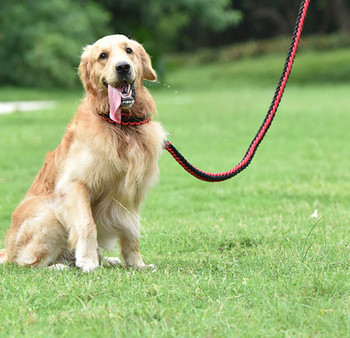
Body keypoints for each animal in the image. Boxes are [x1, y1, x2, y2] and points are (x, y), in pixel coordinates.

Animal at [0, 34, 166, 272]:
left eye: (129, 50)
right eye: (103, 56)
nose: (123, 67)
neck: (122, 125)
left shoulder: (132, 192)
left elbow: (132, 230)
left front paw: (136, 264)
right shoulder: (74, 185)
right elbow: (87, 225)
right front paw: (88, 262)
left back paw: (106, 260)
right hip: (50, 212)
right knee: (28, 262)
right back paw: (61, 267)